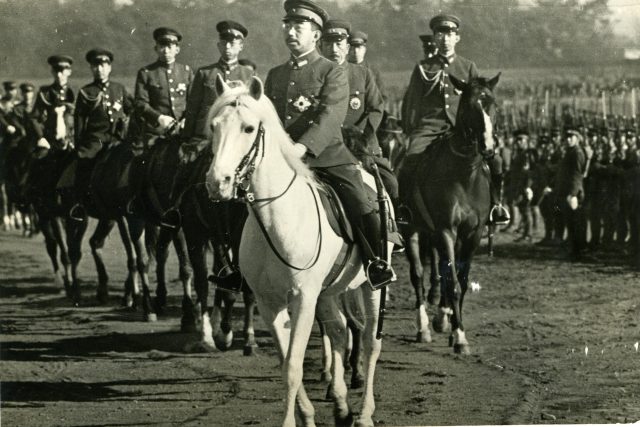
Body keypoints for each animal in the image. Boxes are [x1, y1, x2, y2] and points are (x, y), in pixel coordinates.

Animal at [208, 75, 382, 426]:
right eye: (213, 126)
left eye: (248, 128)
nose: (217, 182)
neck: (278, 216)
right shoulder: (269, 302)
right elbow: (286, 360)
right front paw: (308, 414)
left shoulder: (302, 297)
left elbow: (292, 366)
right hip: (328, 292)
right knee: (339, 331)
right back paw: (341, 405)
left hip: (372, 286)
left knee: (371, 341)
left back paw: (365, 413)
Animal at [400, 73, 500, 354]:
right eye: (469, 106)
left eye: (493, 105)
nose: (488, 147)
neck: (464, 174)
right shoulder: (446, 230)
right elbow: (452, 281)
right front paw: (460, 337)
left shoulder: (473, 233)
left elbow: (461, 281)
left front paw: (454, 327)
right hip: (411, 229)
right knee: (418, 274)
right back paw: (423, 328)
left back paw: (441, 317)